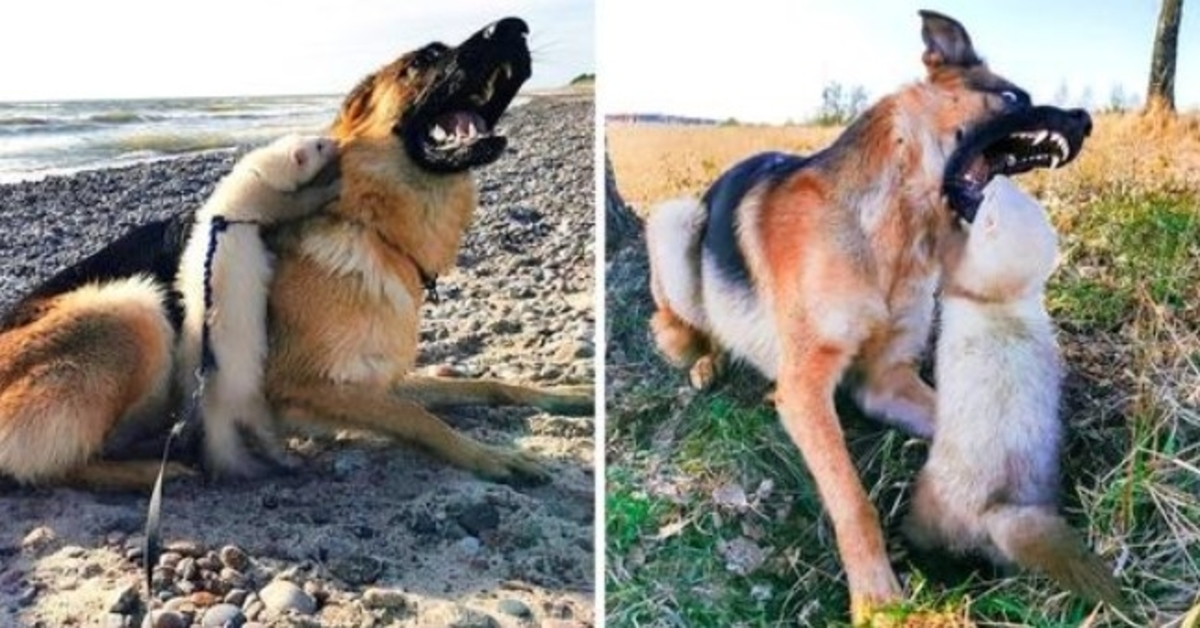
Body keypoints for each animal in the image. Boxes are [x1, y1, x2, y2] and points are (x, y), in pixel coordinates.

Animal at [0, 17, 590, 492]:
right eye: (424, 59)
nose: (516, 26)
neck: (372, 226)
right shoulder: (305, 388)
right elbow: (420, 416)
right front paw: (492, 457)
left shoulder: (375, 378)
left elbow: (484, 384)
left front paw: (565, 394)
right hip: (132, 308)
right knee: (53, 467)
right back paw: (152, 471)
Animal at [648, 11, 1099, 624]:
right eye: (1011, 97)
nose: (1085, 119)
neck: (890, 230)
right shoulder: (805, 389)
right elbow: (851, 499)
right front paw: (877, 597)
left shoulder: (885, 381)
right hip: (673, 224)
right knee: (678, 324)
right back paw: (703, 360)